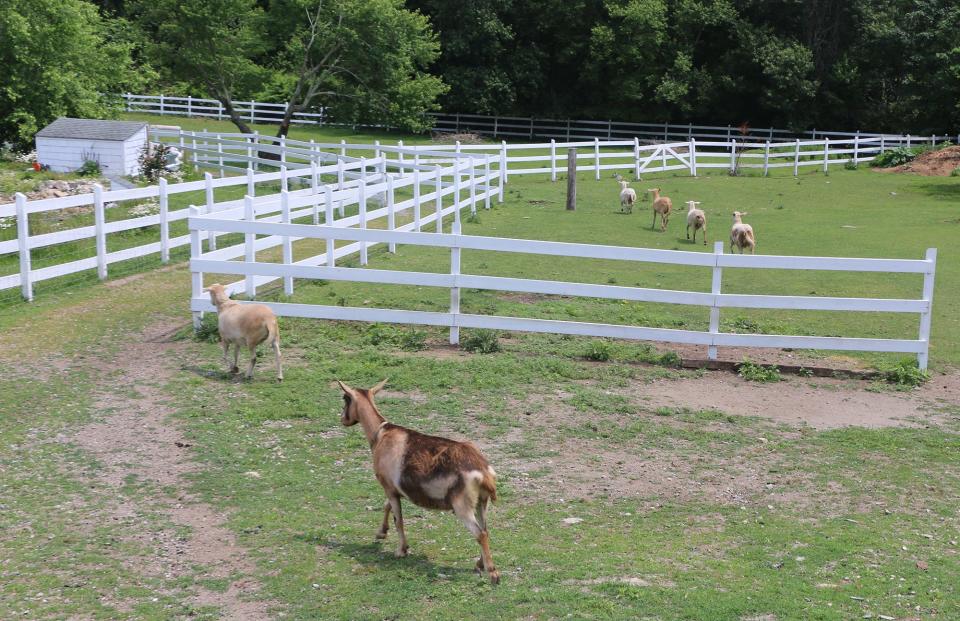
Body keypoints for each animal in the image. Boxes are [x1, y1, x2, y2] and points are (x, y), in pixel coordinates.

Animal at [338, 378, 502, 580]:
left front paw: (401, 550)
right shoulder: (393, 489)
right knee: (485, 529)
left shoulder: (389, 487)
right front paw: (381, 533)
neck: (381, 434)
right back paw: (480, 564)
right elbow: (387, 506)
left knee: (480, 534)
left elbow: (398, 519)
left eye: (345, 399)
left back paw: (493, 573)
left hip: (462, 506)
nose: (342, 419)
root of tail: (484, 472)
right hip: (481, 502)